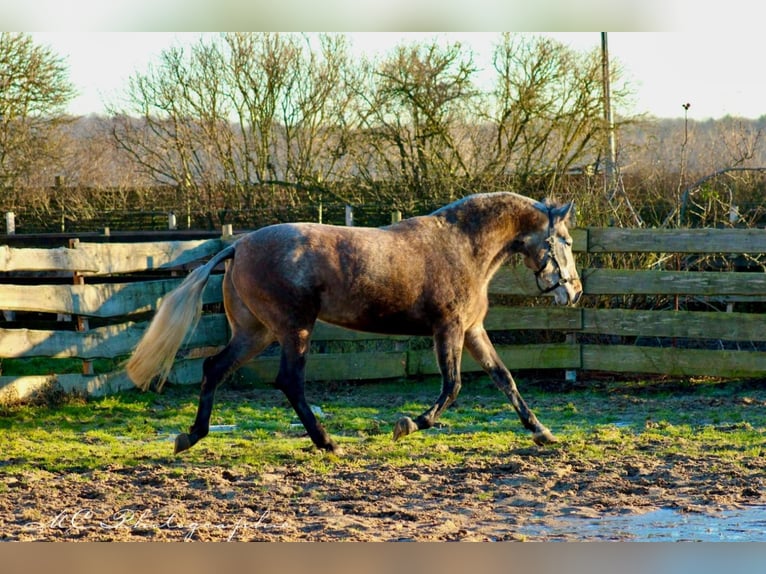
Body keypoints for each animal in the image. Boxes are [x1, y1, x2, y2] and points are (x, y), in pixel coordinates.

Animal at [126, 191, 584, 456]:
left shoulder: (472, 331)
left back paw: (190, 437)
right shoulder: (448, 329)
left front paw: (542, 432)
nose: (575, 292)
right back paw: (328, 443)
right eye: (565, 241)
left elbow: (504, 378)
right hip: (294, 329)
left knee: (214, 368)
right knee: (289, 382)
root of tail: (238, 246)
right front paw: (406, 426)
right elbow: (452, 387)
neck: (463, 247)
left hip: (255, 332)